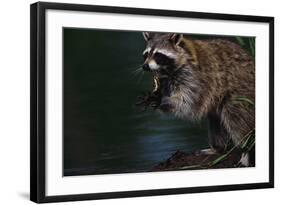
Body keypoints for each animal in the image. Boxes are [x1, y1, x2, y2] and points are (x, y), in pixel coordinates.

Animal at [139, 32, 254, 166]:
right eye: (146, 54)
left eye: (158, 55)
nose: (145, 66)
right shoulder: (167, 78)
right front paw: (157, 95)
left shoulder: (197, 77)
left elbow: (189, 102)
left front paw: (163, 100)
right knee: (215, 119)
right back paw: (218, 148)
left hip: (240, 91)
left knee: (235, 117)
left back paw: (246, 149)